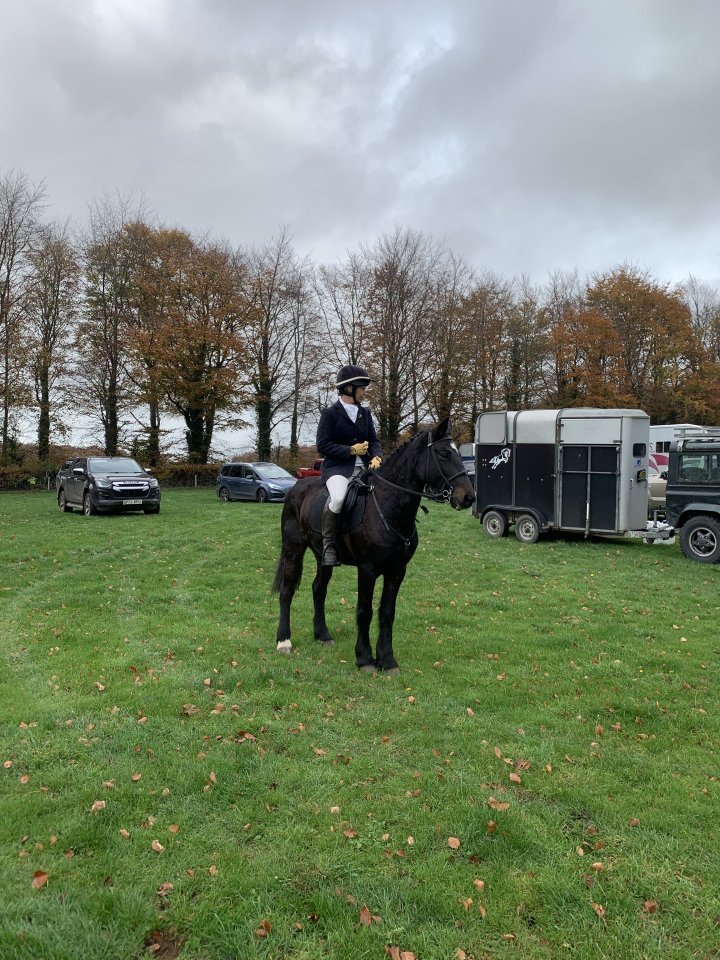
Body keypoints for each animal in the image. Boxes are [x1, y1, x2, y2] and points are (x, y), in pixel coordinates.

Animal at [271, 417, 476, 673]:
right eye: (444, 454)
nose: (468, 497)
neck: (389, 507)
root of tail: (295, 488)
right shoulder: (367, 570)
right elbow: (364, 611)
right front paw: (365, 658)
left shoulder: (397, 571)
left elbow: (387, 612)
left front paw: (387, 660)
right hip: (293, 549)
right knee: (287, 591)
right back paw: (284, 641)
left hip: (323, 556)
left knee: (318, 588)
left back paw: (323, 635)